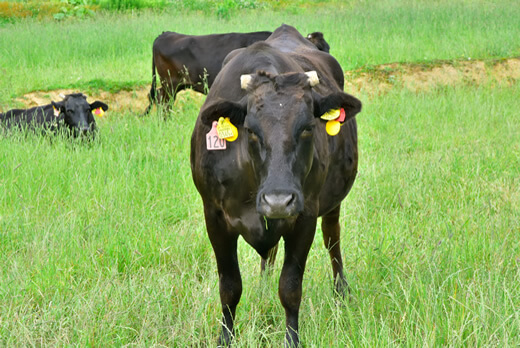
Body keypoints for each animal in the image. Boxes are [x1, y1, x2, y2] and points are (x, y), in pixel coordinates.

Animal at [190, 23, 362, 346]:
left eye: (308, 128)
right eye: (251, 130)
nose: (278, 200)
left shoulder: (305, 216)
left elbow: (291, 288)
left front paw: (292, 338)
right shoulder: (214, 217)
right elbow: (229, 287)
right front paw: (225, 338)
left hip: (332, 203)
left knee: (333, 239)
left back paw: (341, 291)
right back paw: (262, 289)